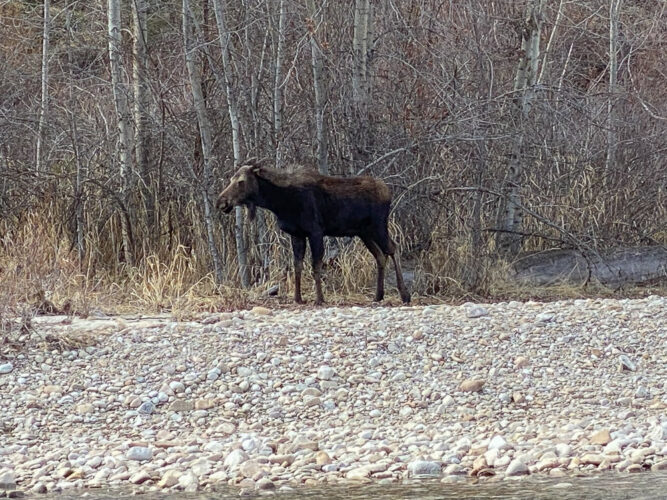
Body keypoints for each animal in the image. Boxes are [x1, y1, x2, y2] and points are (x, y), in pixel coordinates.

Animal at [217, 163, 412, 304]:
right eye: (231, 179)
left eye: (241, 181)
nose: (221, 202)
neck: (280, 203)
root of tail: (388, 191)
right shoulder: (297, 234)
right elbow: (297, 265)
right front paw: (298, 298)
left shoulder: (316, 231)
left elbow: (316, 265)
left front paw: (319, 299)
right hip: (365, 232)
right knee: (380, 255)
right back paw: (378, 295)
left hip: (379, 226)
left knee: (393, 248)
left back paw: (404, 295)